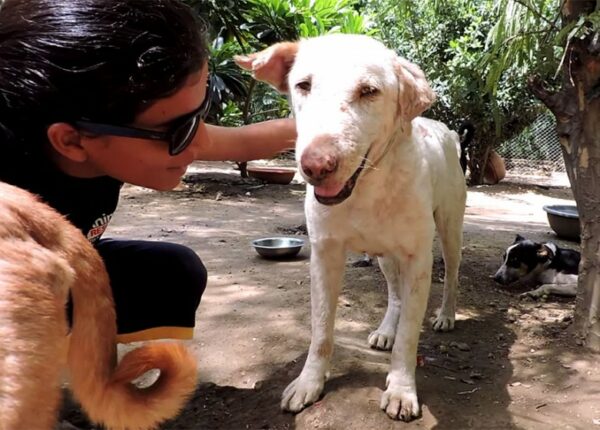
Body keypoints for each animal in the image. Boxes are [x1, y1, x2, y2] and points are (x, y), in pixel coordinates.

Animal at [237, 33, 466, 420]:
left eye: (369, 91)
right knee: (395, 294)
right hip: (386, 256)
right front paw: (309, 383)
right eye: (303, 85)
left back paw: (446, 315)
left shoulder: (417, 259)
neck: (365, 189)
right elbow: (321, 331)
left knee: (450, 276)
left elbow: (409, 338)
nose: (315, 166)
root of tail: (441, 126)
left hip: (450, 229)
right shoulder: (325, 255)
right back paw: (386, 330)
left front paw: (402, 390)